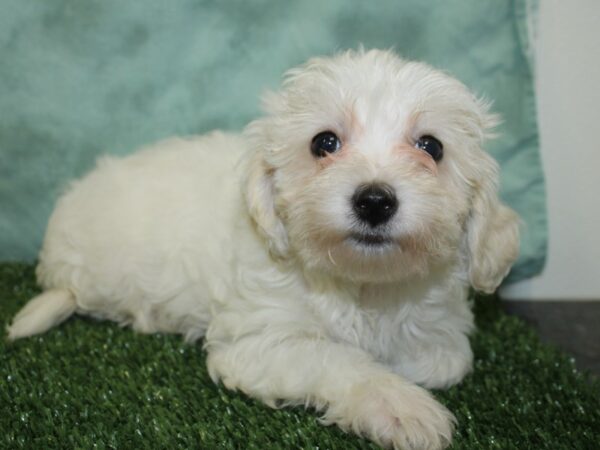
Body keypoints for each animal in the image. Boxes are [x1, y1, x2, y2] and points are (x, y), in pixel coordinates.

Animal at [7, 50, 516, 450]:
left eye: (431, 146)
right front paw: (400, 404)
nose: (374, 200)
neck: (360, 284)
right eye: (324, 143)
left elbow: (446, 360)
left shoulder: (442, 333)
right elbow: (335, 357)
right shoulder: (257, 343)